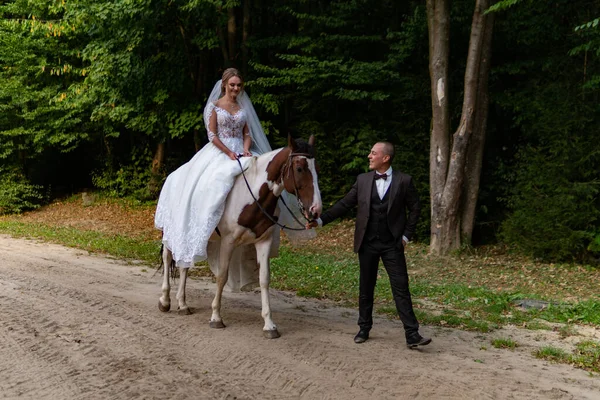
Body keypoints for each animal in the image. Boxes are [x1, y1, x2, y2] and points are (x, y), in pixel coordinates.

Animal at [157, 135, 322, 338]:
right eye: (299, 168)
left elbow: (264, 279)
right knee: (167, 258)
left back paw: (182, 304)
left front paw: (269, 325)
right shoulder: (228, 241)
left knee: (184, 265)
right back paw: (165, 301)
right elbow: (222, 276)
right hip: (170, 232)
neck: (253, 195)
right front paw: (216, 317)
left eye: (316, 169)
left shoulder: (263, 241)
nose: (315, 210)